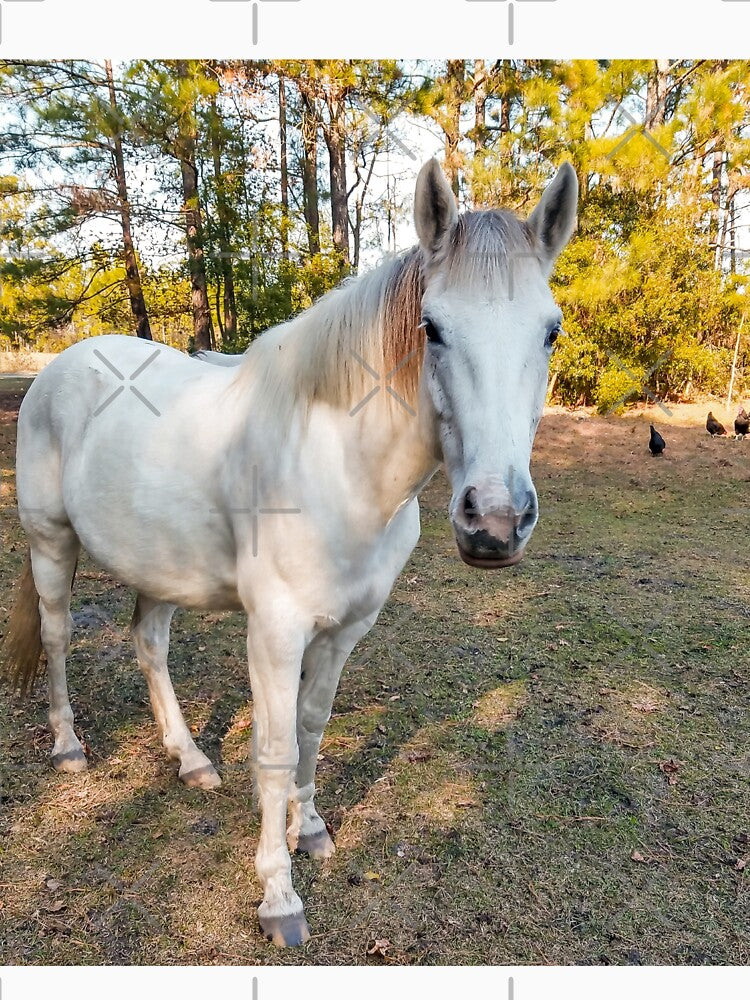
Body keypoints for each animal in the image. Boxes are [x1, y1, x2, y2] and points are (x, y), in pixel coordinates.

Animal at [1, 159, 578, 947]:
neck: (336, 465)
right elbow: (274, 752)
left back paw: (190, 759)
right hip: (52, 544)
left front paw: (309, 829)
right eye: (432, 328)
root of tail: (59, 368)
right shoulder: (274, 632)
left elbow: (310, 730)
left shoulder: (343, 632)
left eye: (550, 331)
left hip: (160, 567)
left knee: (149, 643)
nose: (494, 521)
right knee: (59, 635)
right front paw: (279, 896)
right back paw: (67, 748)